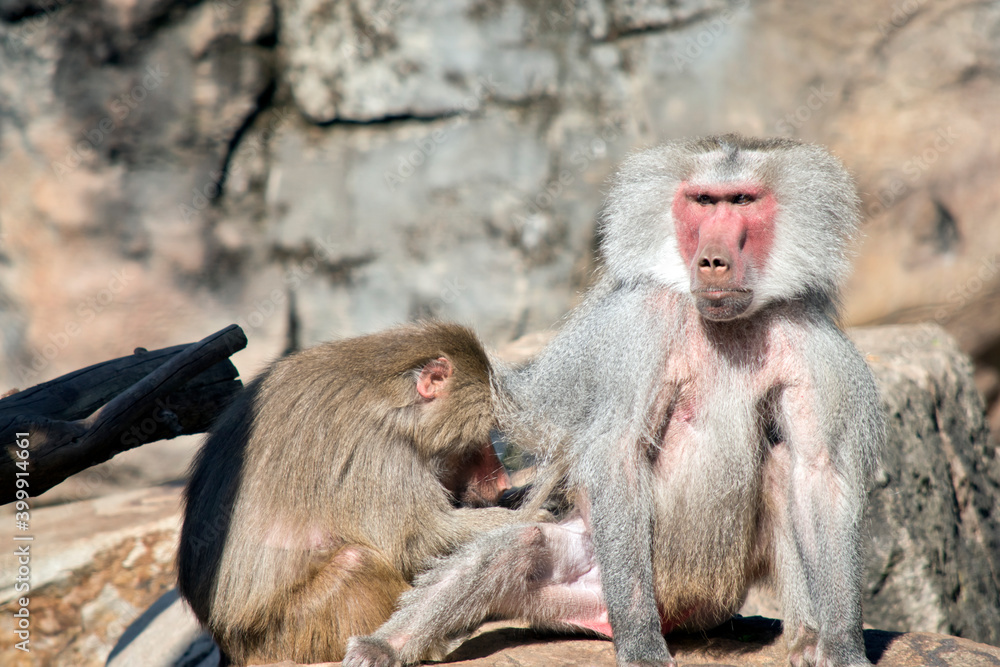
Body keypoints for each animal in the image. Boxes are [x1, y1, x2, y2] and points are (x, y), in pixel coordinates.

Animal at [177, 321, 537, 665]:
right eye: (480, 439)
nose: (501, 483)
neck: (392, 396)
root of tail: (231, 646)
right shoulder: (380, 450)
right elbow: (415, 543)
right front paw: (527, 516)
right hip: (289, 636)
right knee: (356, 562)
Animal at [343, 135, 885, 667]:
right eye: (702, 201)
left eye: (743, 201)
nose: (712, 261)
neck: (728, 323)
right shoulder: (637, 328)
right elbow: (616, 454)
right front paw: (641, 647)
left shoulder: (814, 346)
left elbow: (819, 472)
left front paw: (841, 645)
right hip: (588, 573)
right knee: (517, 547)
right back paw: (383, 646)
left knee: (779, 467)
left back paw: (805, 638)